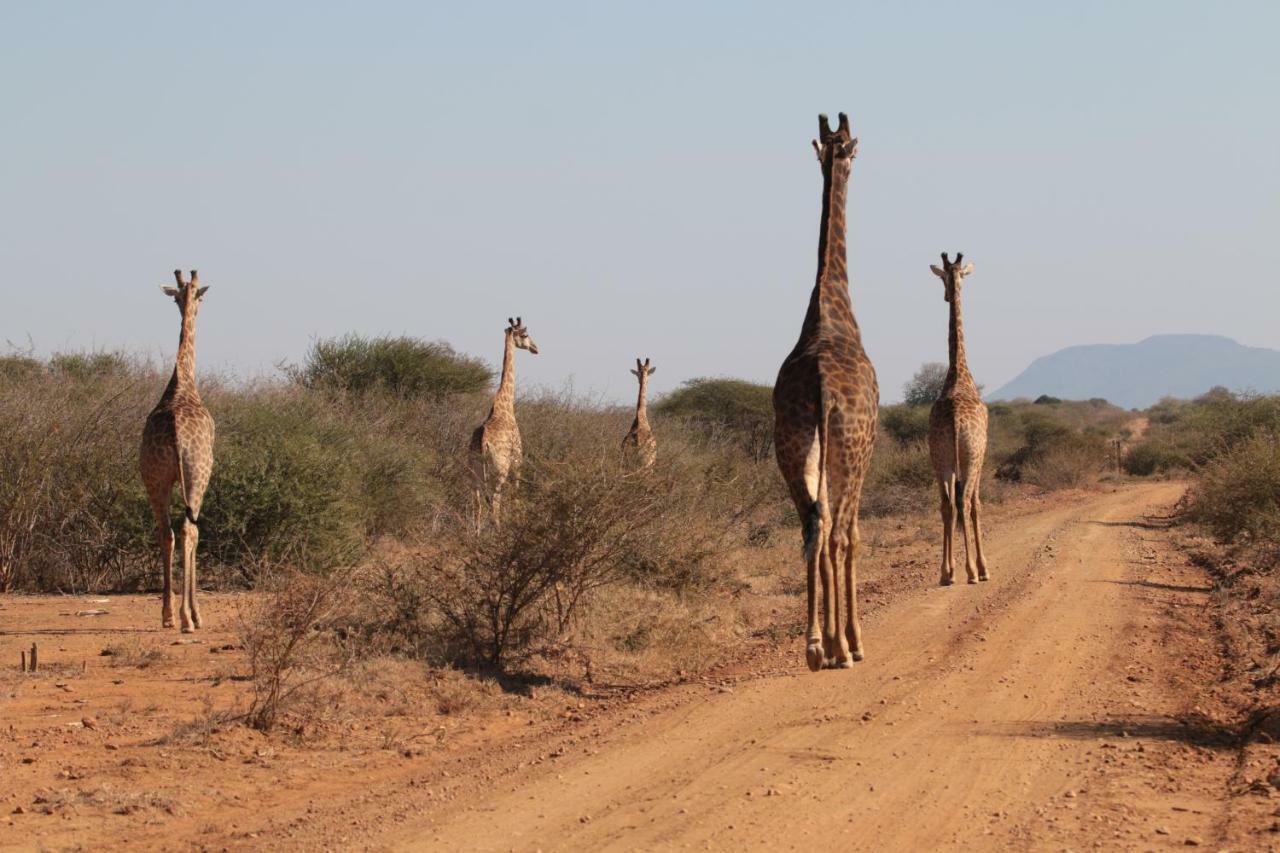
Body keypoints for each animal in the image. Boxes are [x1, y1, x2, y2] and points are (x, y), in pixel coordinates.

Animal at [468, 315, 537, 522]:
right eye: (525, 334)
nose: (535, 348)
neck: (505, 406)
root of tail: (483, 444)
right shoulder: (517, 461)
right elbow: (516, 494)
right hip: (499, 471)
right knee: (495, 504)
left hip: (473, 473)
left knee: (477, 506)